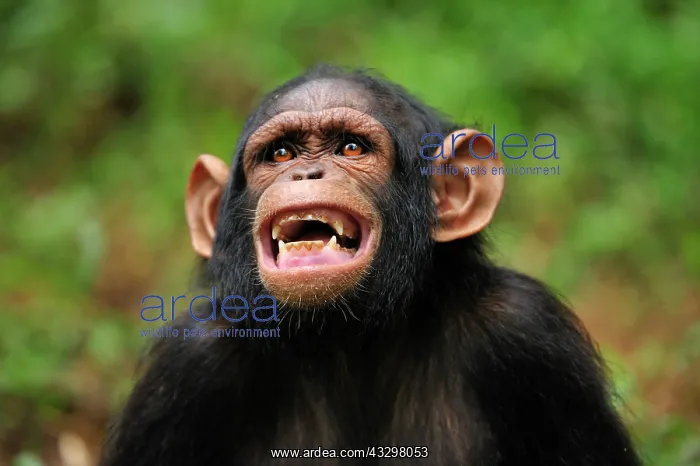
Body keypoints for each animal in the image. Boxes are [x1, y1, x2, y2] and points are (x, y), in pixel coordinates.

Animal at [99, 64, 642, 465]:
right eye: (280, 153)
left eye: (351, 147)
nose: (306, 172)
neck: (349, 337)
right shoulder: (187, 367)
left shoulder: (530, 334)